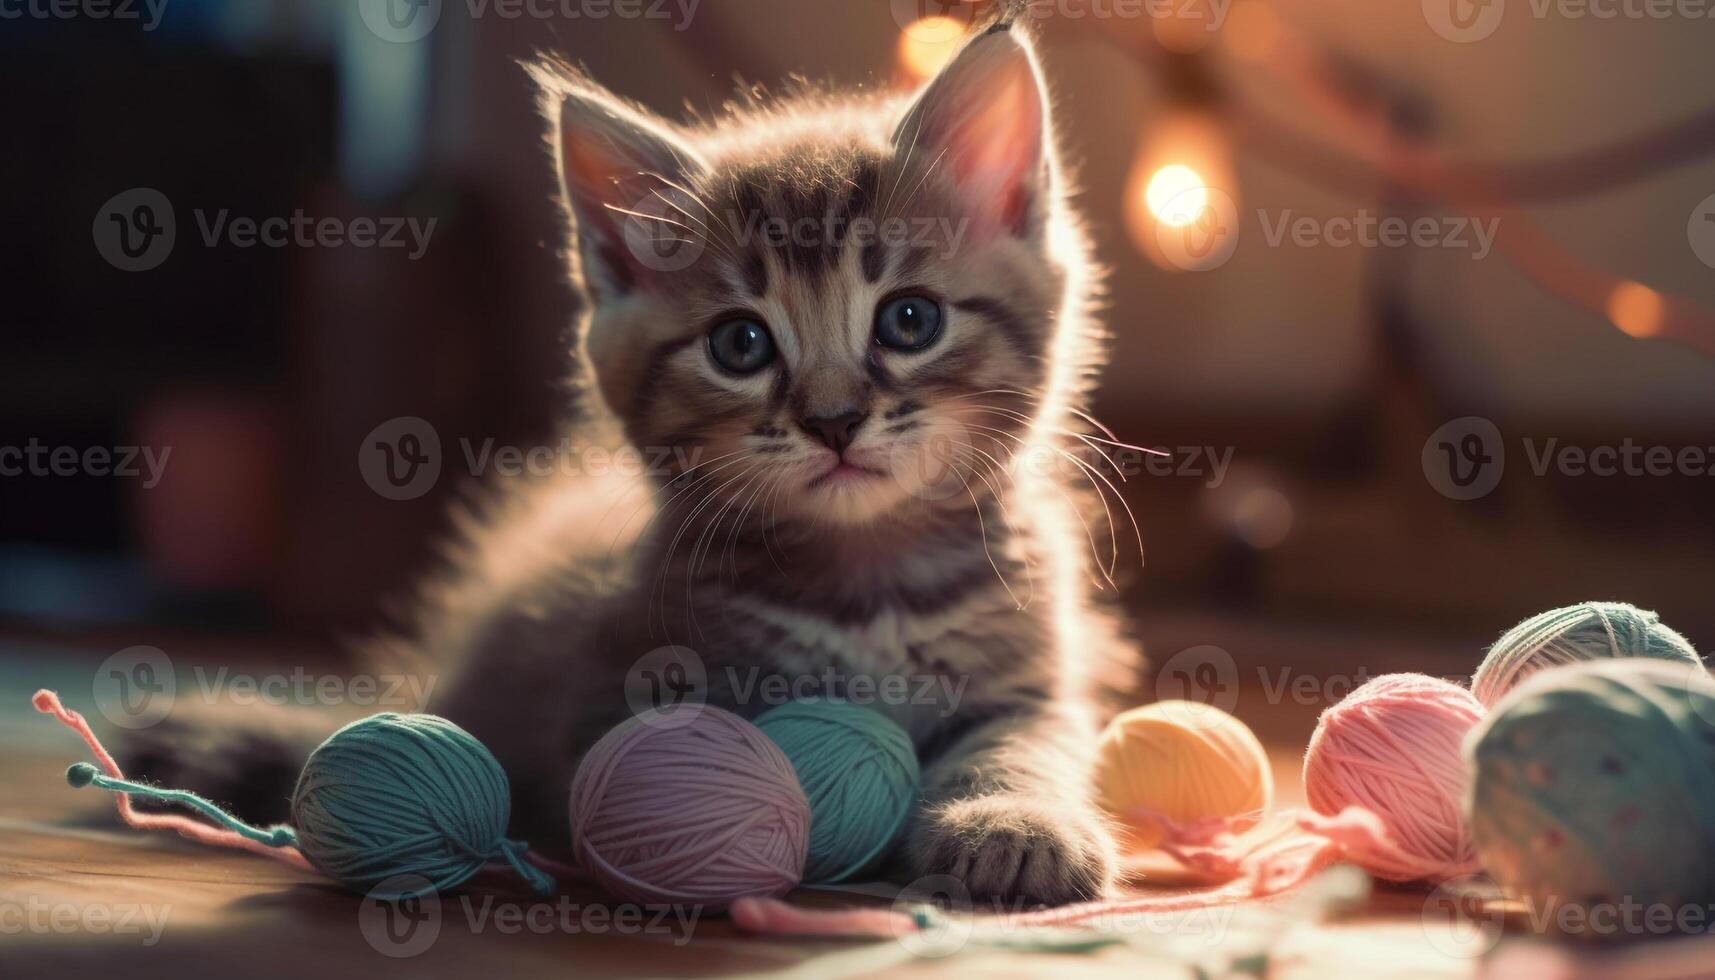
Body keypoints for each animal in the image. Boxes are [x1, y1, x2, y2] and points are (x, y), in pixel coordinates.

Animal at [130, 22, 1138, 906]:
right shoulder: (607, 692)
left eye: (910, 319)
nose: (834, 420)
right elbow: (673, 766)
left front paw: (1013, 824)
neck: (867, 582)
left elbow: (1029, 742)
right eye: (740, 344)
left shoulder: (1031, 675)